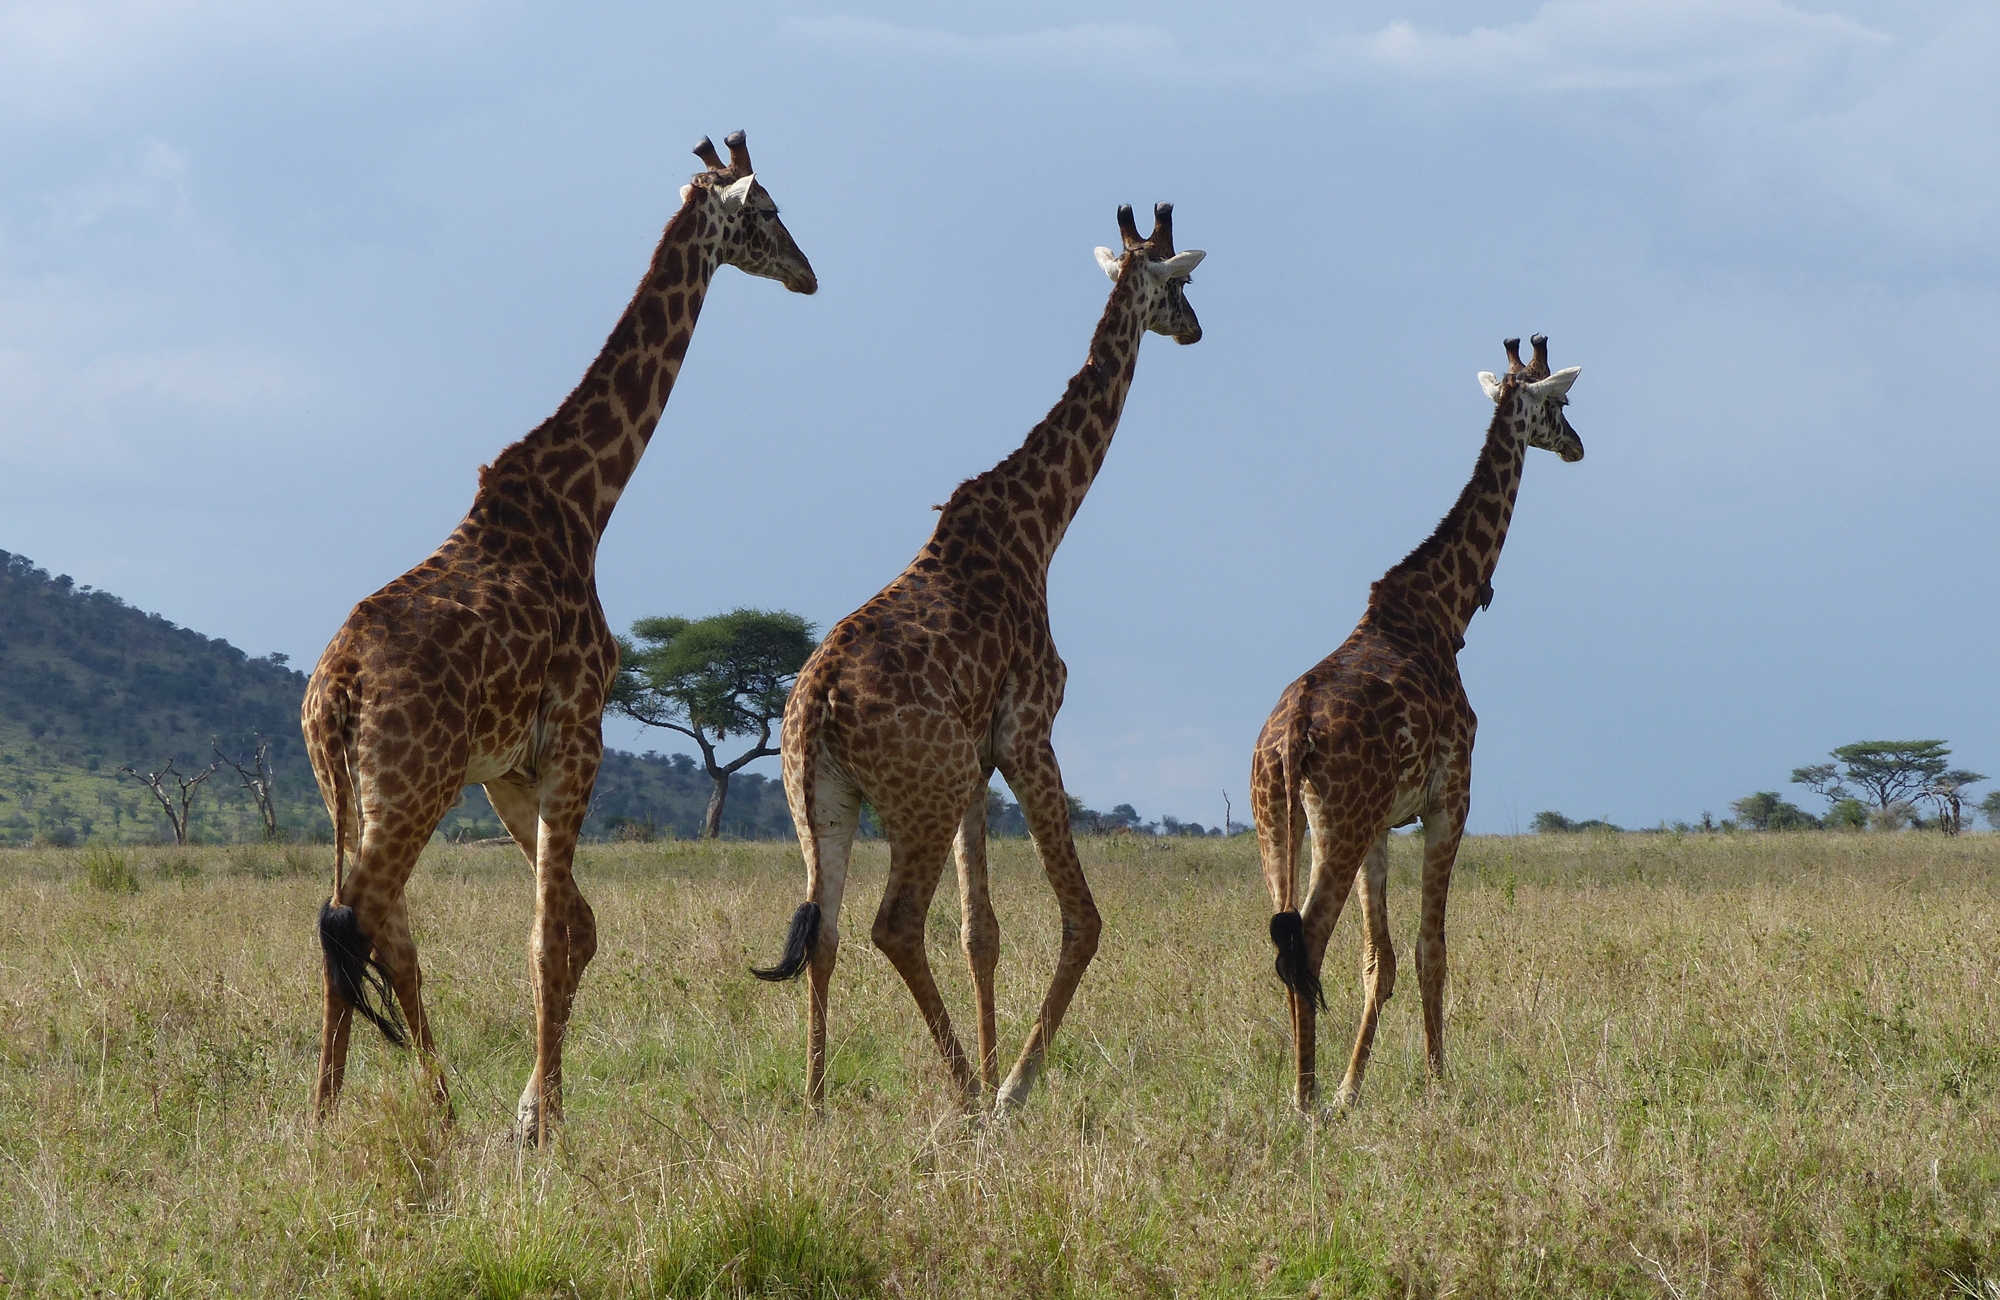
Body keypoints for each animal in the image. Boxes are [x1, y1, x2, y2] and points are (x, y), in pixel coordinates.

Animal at [300, 134, 816, 1144]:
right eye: (771, 210)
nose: (809, 273)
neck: (585, 504)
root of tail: (335, 690)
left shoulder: (510, 767)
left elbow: (577, 925)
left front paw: (537, 1104)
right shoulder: (579, 728)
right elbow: (549, 936)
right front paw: (539, 1122)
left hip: (348, 788)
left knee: (368, 921)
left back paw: (369, 1109)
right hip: (412, 783)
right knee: (360, 912)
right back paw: (380, 1107)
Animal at [756, 208, 1200, 1112]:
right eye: (1180, 285)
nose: (1197, 329)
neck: (1040, 525)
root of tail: (814, 705)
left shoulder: (979, 763)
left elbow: (981, 932)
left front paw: (1001, 1070)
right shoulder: (1026, 732)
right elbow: (1082, 918)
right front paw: (1012, 1087)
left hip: (822, 797)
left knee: (825, 925)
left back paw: (816, 1097)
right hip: (923, 790)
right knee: (892, 924)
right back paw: (964, 1095)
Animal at [1248, 332, 1576, 1104]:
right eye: (1560, 404)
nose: (1579, 446)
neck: (1441, 611)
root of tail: (1289, 740)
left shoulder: (1380, 827)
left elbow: (1381, 960)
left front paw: (1352, 1090)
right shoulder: (1448, 801)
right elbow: (1432, 951)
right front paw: (1436, 1082)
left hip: (1279, 821)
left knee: (1284, 939)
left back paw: (1309, 1091)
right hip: (1335, 824)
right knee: (1307, 940)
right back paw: (1302, 1099)